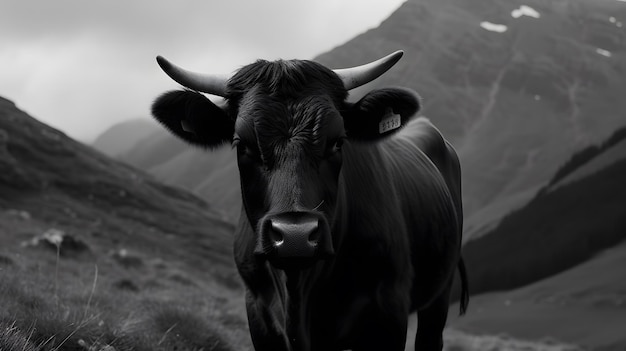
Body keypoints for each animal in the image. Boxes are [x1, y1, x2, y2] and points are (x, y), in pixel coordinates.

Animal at [150, 50, 464, 351]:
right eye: (242, 143)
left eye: (338, 141)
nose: (295, 236)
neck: (298, 293)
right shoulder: (258, 313)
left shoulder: (388, 311)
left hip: (441, 291)